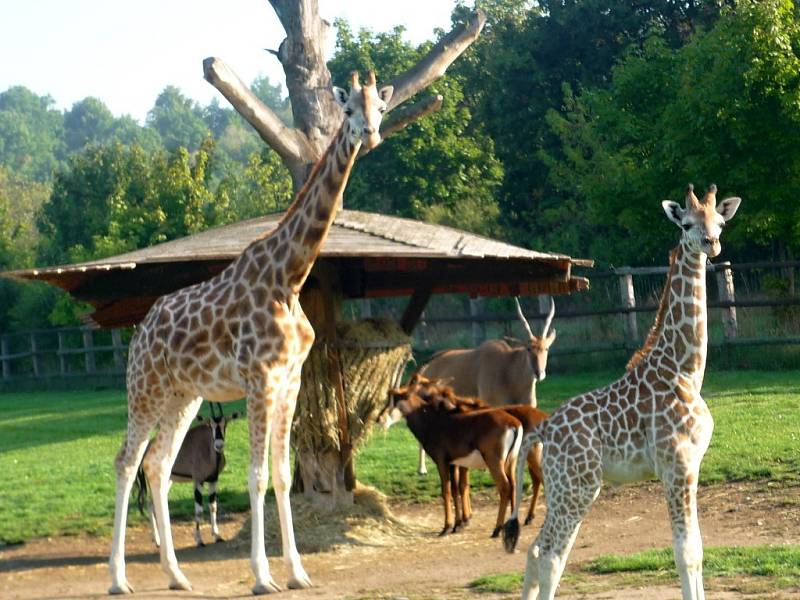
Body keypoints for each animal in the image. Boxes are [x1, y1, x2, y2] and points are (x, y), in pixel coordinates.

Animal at [106, 71, 394, 596]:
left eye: (380, 109)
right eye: (347, 110)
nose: (369, 135)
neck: (290, 277)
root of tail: (137, 336)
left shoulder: (290, 379)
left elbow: (282, 473)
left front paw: (297, 571)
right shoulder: (259, 378)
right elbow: (256, 474)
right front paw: (262, 576)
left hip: (184, 396)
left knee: (157, 465)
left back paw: (176, 575)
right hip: (145, 389)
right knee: (127, 461)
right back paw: (118, 578)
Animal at [382, 376, 524, 540]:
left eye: (395, 399)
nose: (380, 419)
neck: (433, 418)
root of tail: (514, 423)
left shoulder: (441, 461)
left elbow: (446, 491)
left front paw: (447, 527)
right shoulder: (454, 463)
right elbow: (457, 488)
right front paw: (458, 524)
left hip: (494, 462)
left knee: (505, 487)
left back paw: (497, 529)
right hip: (510, 462)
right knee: (513, 485)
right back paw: (512, 526)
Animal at [412, 296, 556, 474]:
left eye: (546, 348)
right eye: (528, 348)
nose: (539, 373)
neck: (509, 369)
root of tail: (427, 366)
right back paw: (422, 468)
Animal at [506, 183, 744, 600]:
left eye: (719, 221)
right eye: (686, 223)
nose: (711, 244)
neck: (685, 371)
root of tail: (544, 429)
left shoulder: (692, 466)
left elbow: (698, 550)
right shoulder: (676, 466)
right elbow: (685, 552)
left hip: (563, 486)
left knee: (536, 549)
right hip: (578, 486)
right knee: (551, 554)